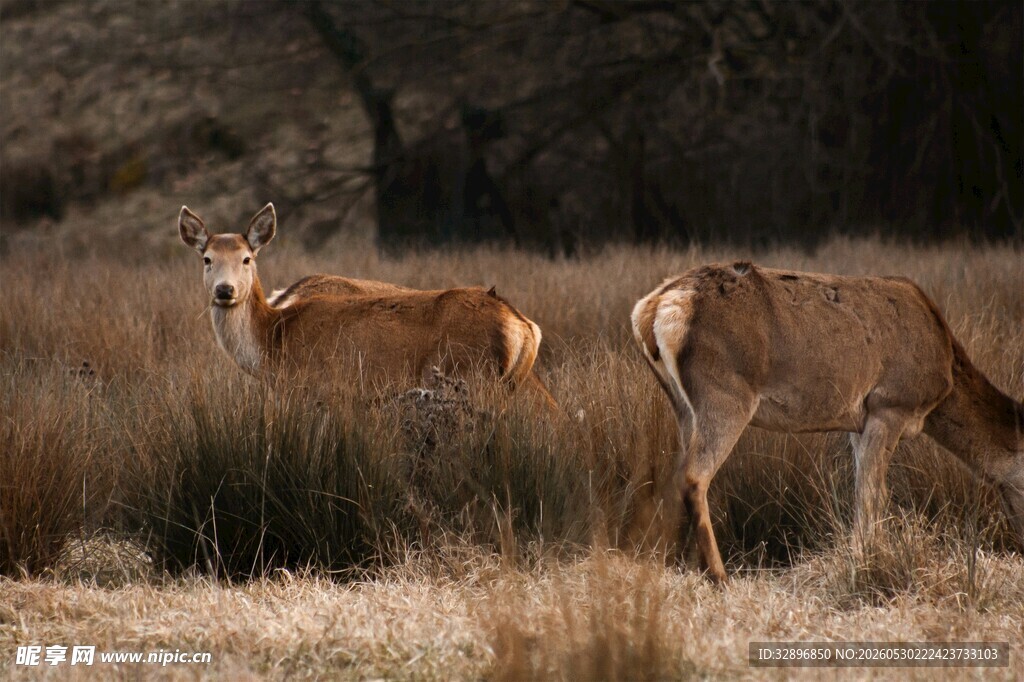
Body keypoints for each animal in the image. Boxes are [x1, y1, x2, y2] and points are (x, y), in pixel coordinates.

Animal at [178, 203, 556, 406]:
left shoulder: (315, 389)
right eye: (207, 259)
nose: (225, 290)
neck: (273, 342)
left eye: (246, 258)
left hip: (468, 375)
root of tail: (524, 327)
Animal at [632, 261, 1024, 583]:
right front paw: (867, 560)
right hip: (725, 392)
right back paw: (718, 574)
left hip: (681, 404)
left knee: (673, 476)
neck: (944, 383)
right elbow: (872, 495)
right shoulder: (890, 403)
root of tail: (651, 307)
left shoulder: (858, 423)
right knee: (694, 477)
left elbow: (863, 491)